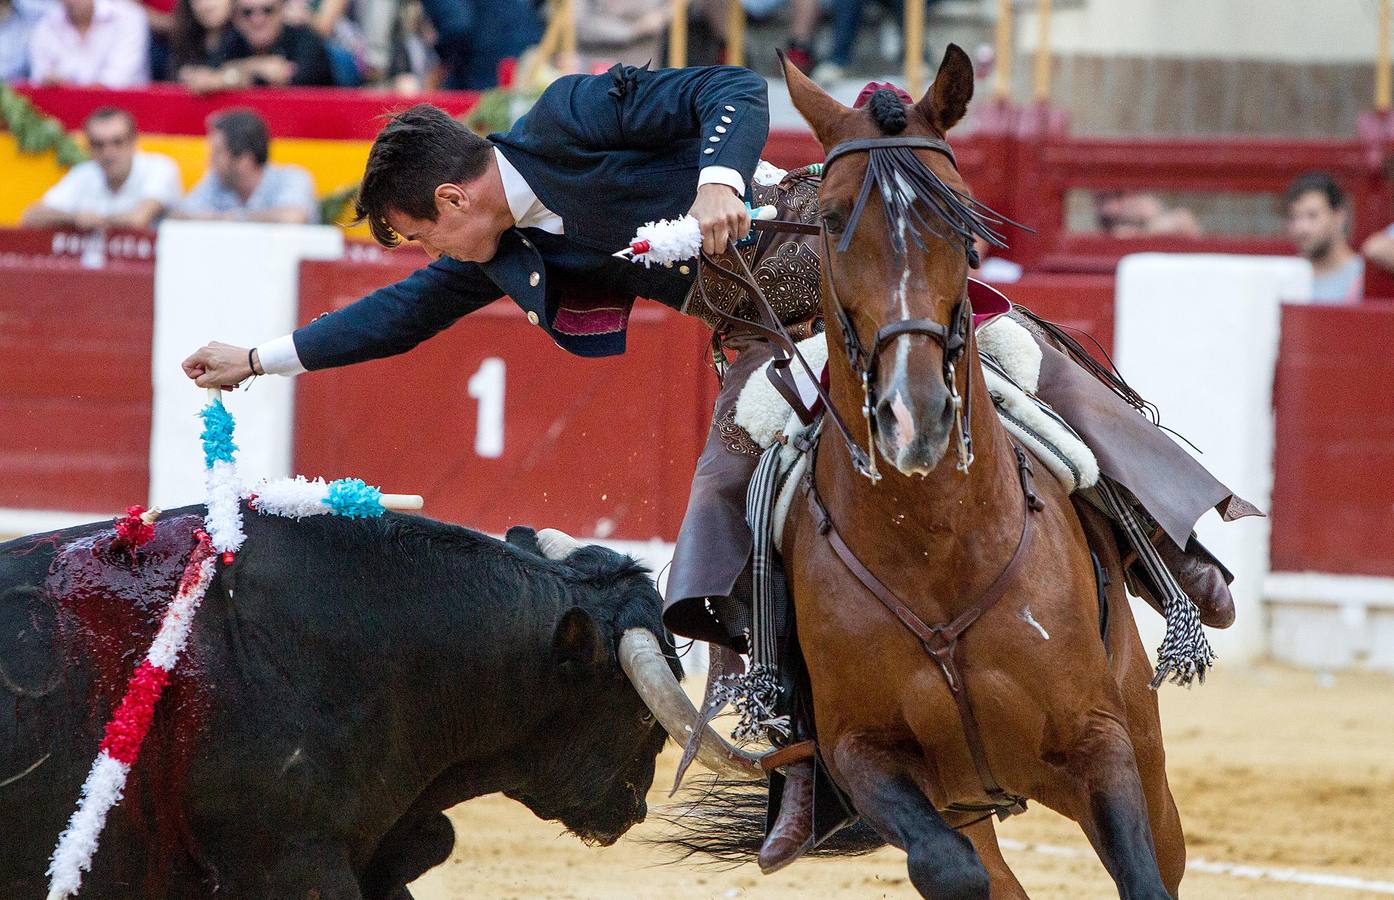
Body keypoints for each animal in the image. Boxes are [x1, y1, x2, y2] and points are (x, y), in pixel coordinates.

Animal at [780, 51, 1182, 900]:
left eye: (962, 218)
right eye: (829, 218)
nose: (914, 414)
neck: (935, 542)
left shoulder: (1101, 740)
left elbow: (1142, 877)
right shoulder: (861, 750)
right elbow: (950, 869)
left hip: (1147, 752)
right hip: (966, 798)